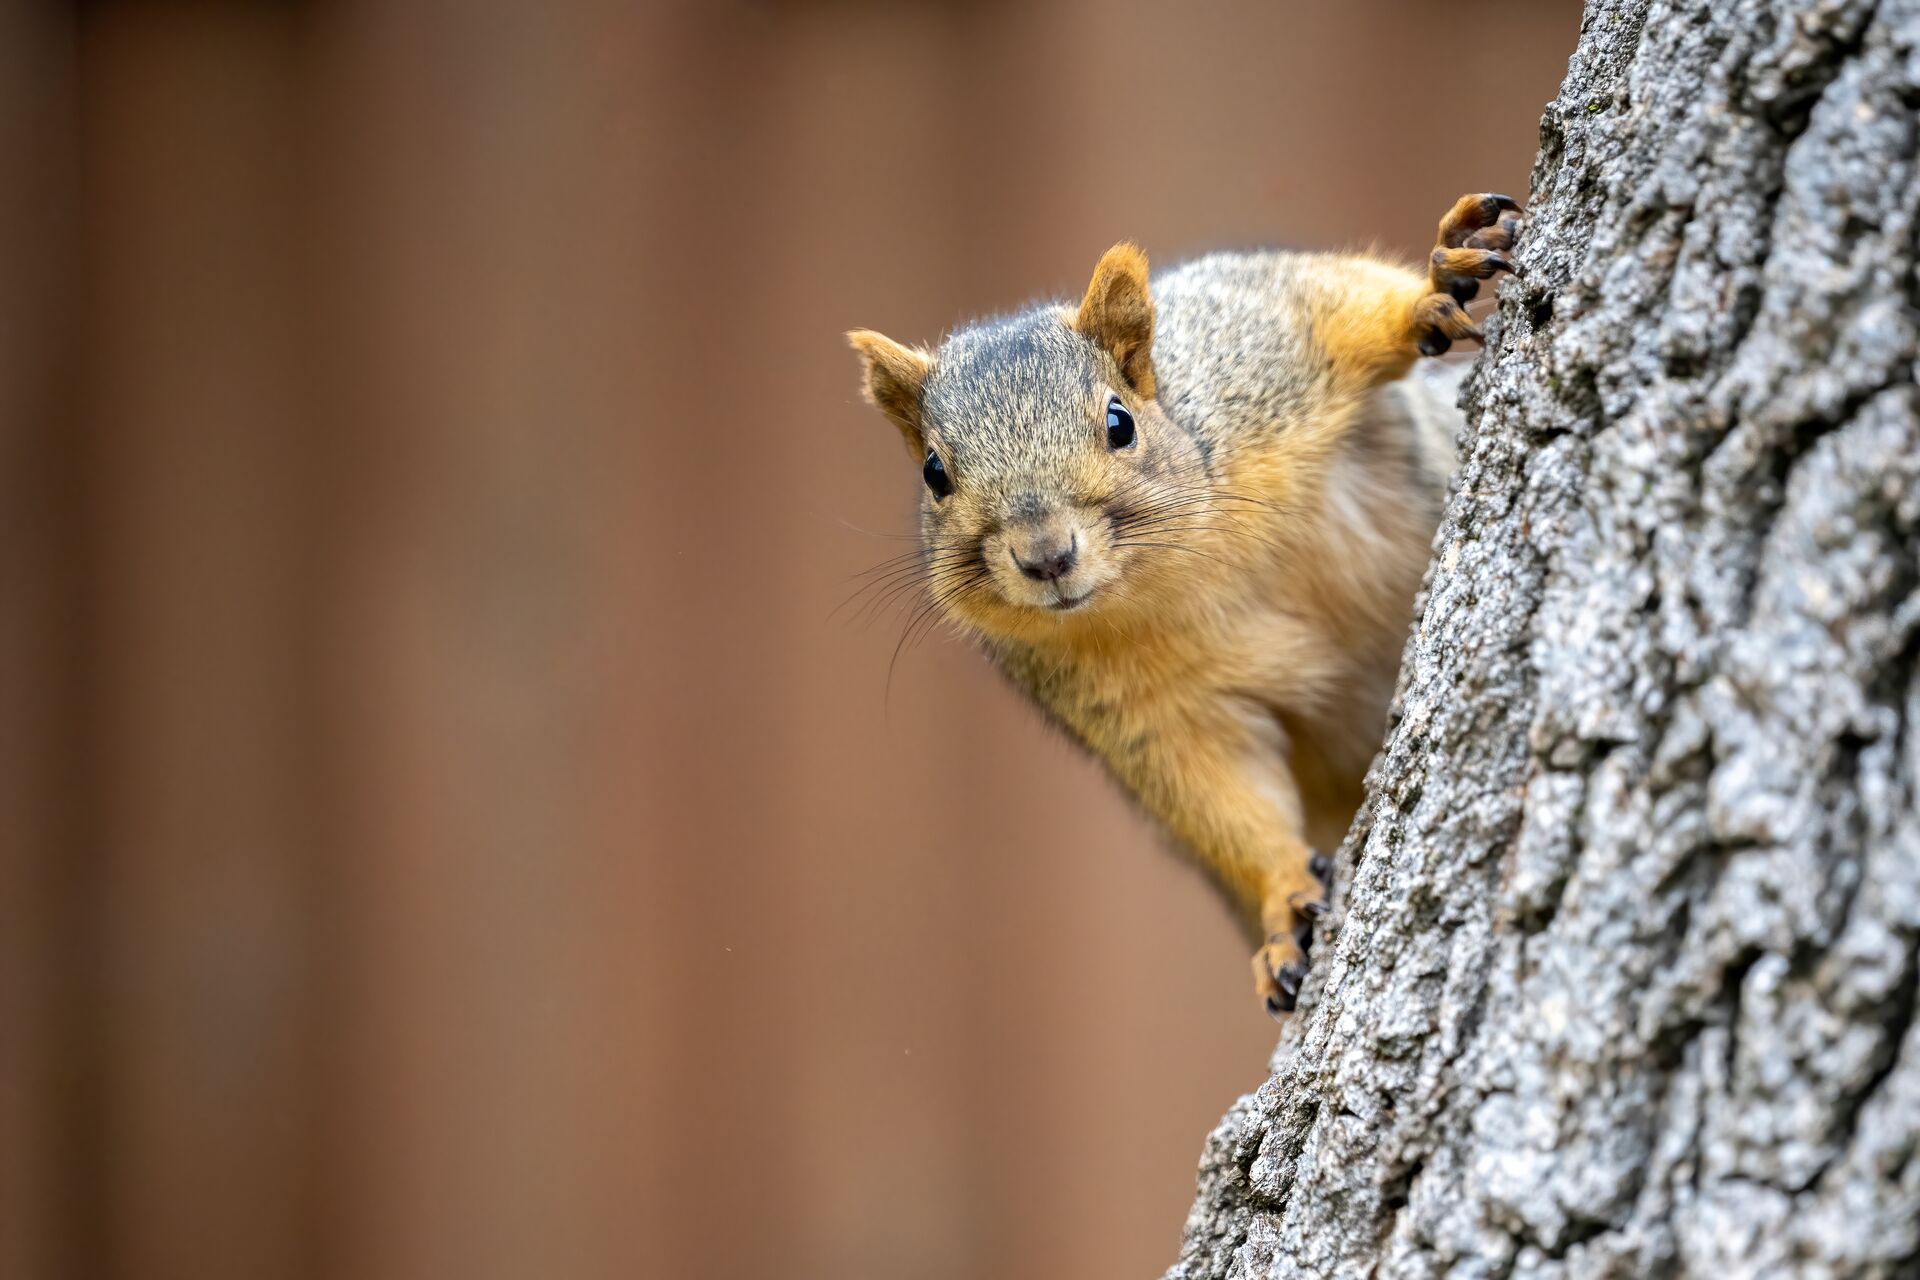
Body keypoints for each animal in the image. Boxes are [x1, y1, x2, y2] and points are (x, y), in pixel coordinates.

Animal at [848, 194, 1521, 1018]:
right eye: (935, 473)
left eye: (1119, 421)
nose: (1047, 557)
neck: (1177, 571)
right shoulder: (1151, 715)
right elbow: (1225, 799)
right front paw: (1285, 908)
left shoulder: (1261, 347)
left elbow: (1342, 307)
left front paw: (1437, 280)